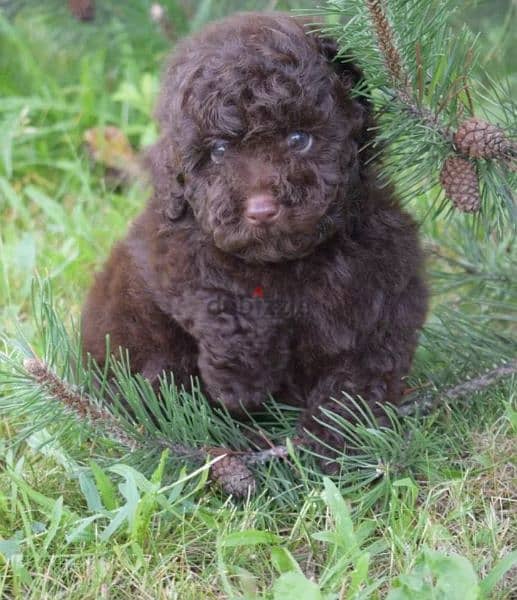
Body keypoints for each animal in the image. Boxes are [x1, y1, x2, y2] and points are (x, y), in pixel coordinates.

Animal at [80, 11, 428, 454]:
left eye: (298, 139)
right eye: (219, 151)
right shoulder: (165, 243)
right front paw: (241, 381)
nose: (261, 210)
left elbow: (355, 383)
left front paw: (330, 449)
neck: (292, 264)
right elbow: (218, 294)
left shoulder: (385, 290)